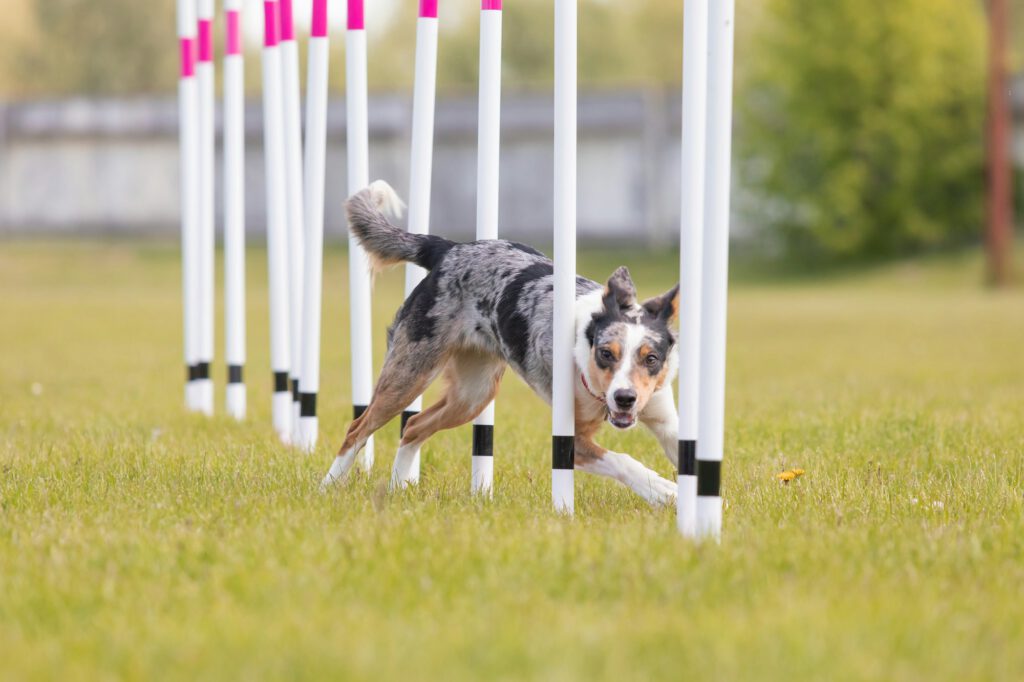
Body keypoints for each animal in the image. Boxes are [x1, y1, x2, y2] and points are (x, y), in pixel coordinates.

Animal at [321, 180, 679, 503]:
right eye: (606, 354)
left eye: (651, 358)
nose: (625, 398)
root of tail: (448, 248)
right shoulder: (570, 440)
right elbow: (623, 460)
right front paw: (662, 490)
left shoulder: (665, 419)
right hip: (410, 374)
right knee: (358, 428)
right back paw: (327, 487)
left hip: (473, 395)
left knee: (413, 426)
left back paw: (398, 488)